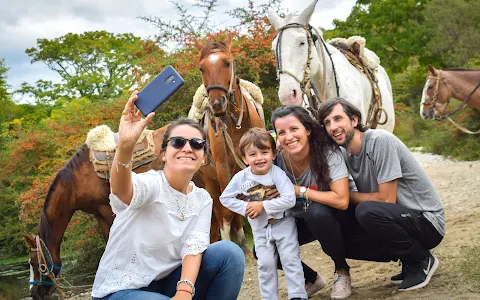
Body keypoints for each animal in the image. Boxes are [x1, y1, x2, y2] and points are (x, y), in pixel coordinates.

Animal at [196, 35, 266, 254]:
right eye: (201, 68)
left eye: (227, 62)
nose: (217, 103)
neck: (236, 127)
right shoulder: (223, 169)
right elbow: (226, 213)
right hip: (210, 181)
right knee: (221, 213)